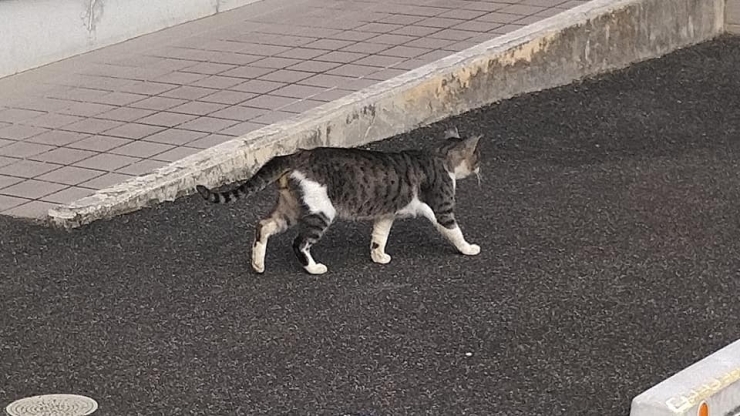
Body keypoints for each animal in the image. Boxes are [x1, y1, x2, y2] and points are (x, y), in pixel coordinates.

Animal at [197, 127, 482, 276]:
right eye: (477, 157)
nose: (481, 168)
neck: (439, 157)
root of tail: (296, 155)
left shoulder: (386, 214)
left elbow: (379, 236)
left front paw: (378, 256)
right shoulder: (442, 208)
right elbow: (455, 232)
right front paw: (469, 249)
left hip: (291, 207)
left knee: (263, 225)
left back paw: (258, 264)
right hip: (321, 211)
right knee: (298, 243)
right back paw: (314, 268)